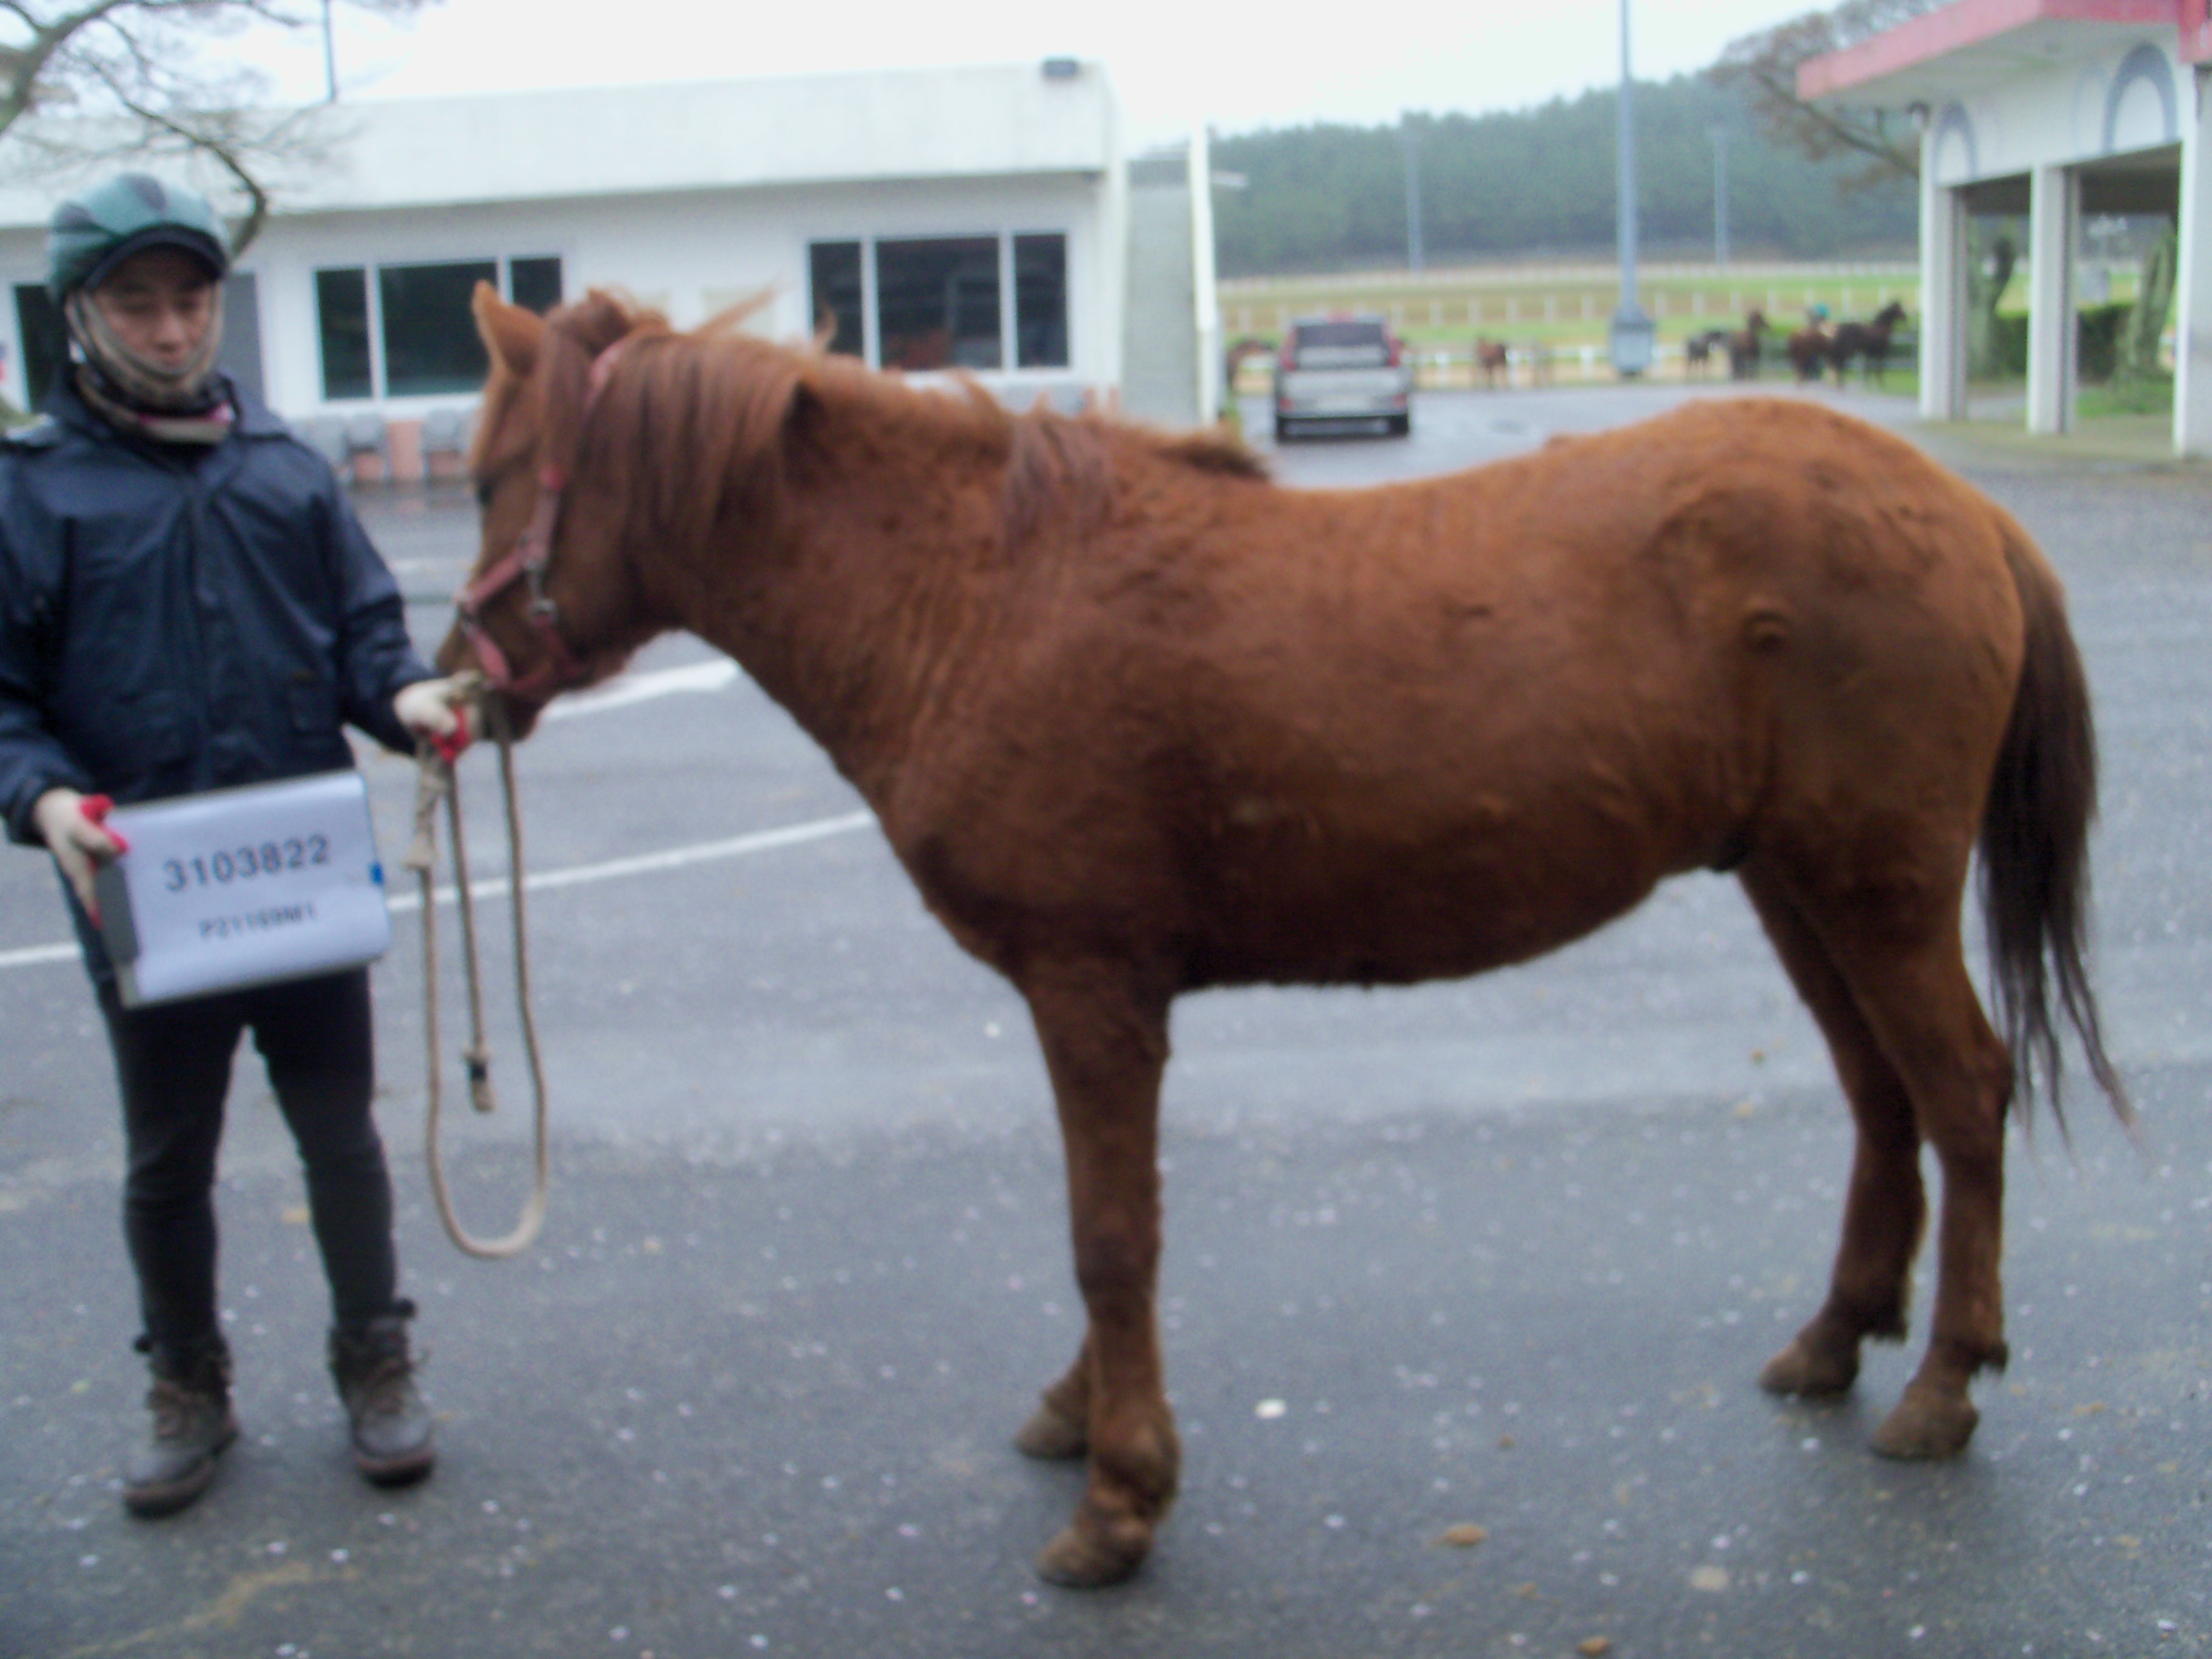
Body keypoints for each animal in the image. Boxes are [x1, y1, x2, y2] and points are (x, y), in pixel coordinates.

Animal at [1822, 300, 1911, 389]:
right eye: (1899, 309)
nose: (1905, 318)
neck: (1881, 329)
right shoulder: (1881, 353)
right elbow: (1879, 368)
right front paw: (1879, 384)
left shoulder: (1870, 354)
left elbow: (1868, 369)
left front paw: (1867, 384)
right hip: (1847, 351)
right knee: (1840, 364)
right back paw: (1841, 385)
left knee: (1838, 364)